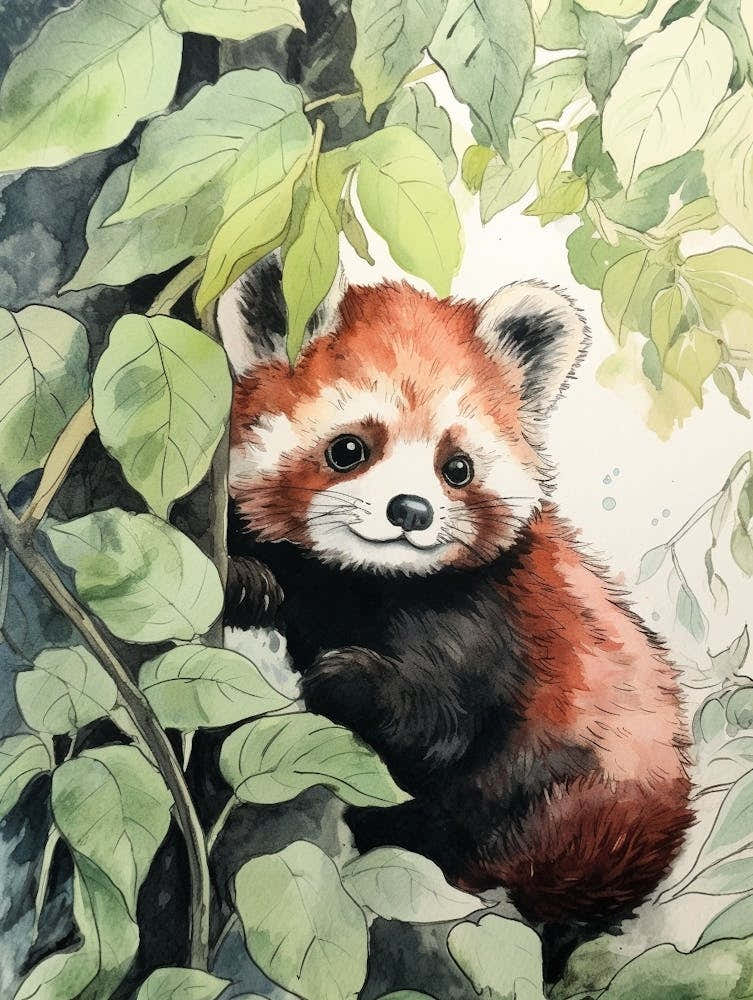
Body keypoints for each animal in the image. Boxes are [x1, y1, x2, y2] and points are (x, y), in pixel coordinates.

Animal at [218, 255, 691, 969]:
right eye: (349, 448)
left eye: (457, 467)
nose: (412, 510)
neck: (360, 585)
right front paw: (248, 583)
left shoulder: (489, 620)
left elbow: (442, 718)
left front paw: (346, 680)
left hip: (583, 801)